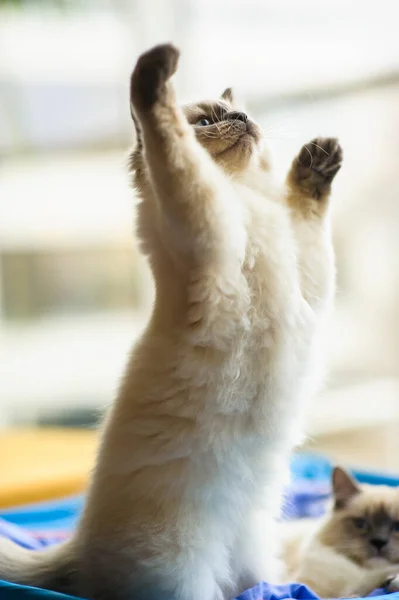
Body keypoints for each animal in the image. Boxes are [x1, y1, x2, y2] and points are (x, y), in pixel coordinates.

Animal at [0, 45, 344, 600]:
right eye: (206, 121)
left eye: (240, 114)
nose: (242, 120)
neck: (246, 200)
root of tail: (78, 549)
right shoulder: (206, 223)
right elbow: (176, 152)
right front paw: (155, 70)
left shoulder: (310, 279)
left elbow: (310, 216)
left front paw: (318, 162)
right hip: (184, 579)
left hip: (254, 554)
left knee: (260, 584)